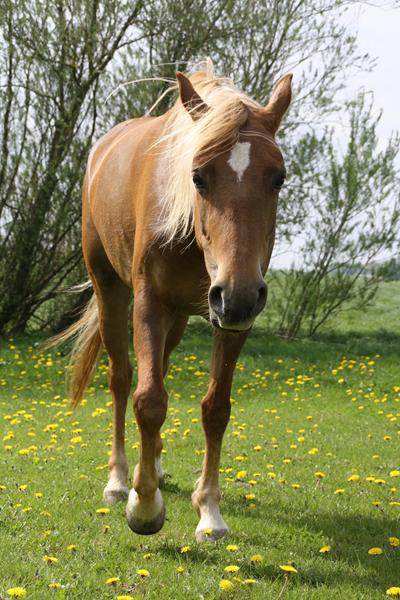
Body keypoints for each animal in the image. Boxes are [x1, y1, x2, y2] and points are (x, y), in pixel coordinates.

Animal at [54, 63, 290, 540]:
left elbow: (215, 408)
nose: (237, 293)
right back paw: (119, 478)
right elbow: (148, 400)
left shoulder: (233, 318)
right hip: (111, 292)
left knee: (159, 368)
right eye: (197, 175)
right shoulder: (149, 302)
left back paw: (156, 467)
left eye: (279, 177)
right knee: (123, 379)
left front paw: (210, 510)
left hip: (182, 316)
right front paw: (143, 506)